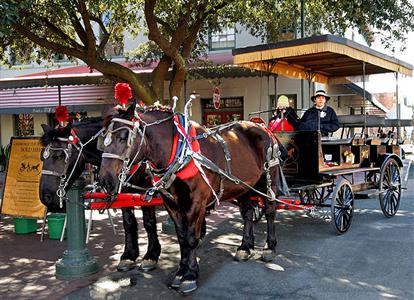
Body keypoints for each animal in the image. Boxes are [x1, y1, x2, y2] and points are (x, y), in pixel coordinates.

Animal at [99, 100, 284, 292]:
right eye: (103, 139)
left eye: (123, 137)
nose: (105, 180)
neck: (180, 154)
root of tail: (261, 126)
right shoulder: (172, 204)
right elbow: (182, 238)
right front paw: (181, 271)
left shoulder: (195, 203)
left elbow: (191, 238)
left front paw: (190, 275)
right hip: (244, 186)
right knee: (247, 214)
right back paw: (245, 247)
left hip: (269, 180)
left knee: (270, 211)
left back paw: (269, 247)